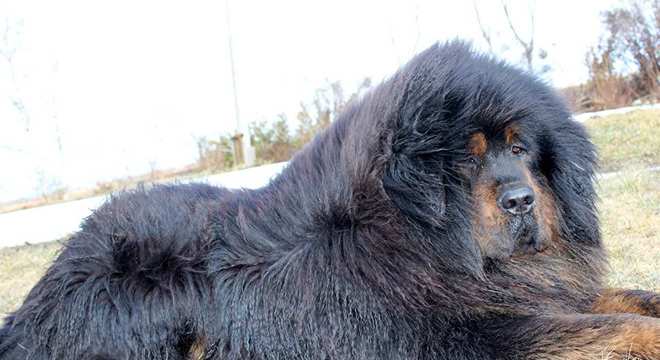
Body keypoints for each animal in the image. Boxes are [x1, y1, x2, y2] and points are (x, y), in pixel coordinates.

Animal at [1, 41, 660, 358]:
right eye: (467, 159)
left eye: (520, 148)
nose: (522, 200)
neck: (415, 238)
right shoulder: (460, 338)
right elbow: (612, 328)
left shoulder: (537, 293)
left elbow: (626, 299)